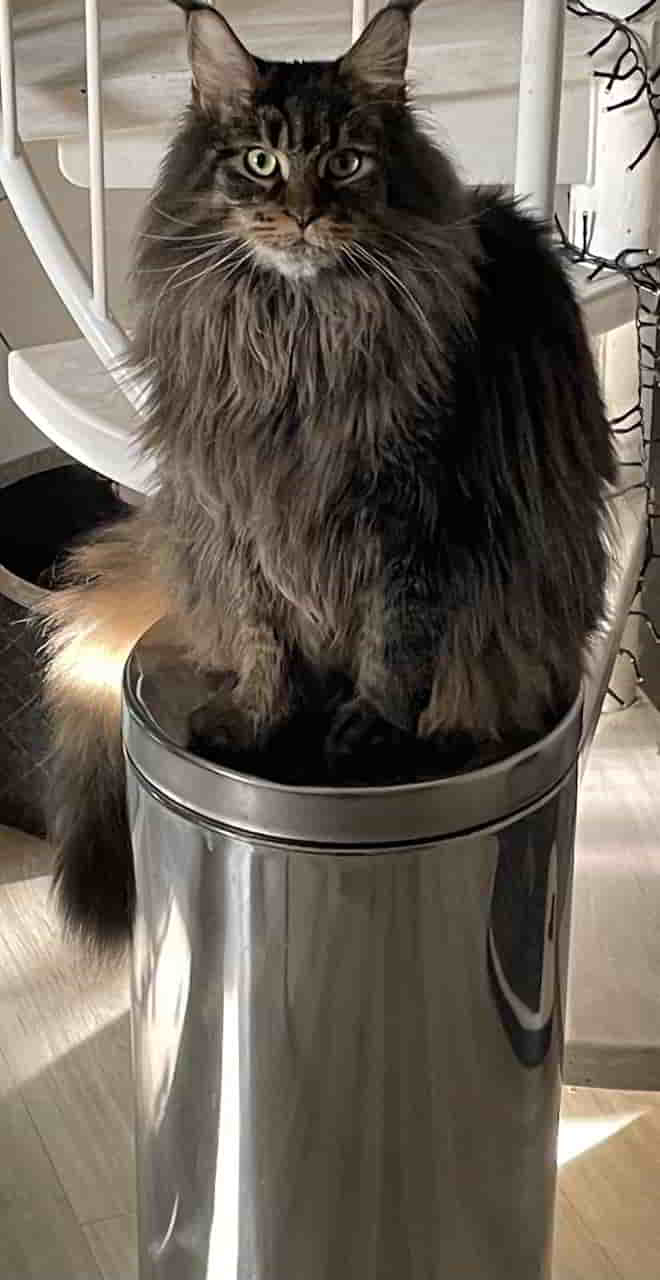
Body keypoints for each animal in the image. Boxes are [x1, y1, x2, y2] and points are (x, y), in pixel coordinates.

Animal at [39, 0, 617, 949]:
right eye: (261, 162)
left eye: (346, 162)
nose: (305, 216)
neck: (299, 338)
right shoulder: (236, 514)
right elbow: (263, 636)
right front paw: (260, 715)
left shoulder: (419, 520)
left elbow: (394, 646)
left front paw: (369, 737)